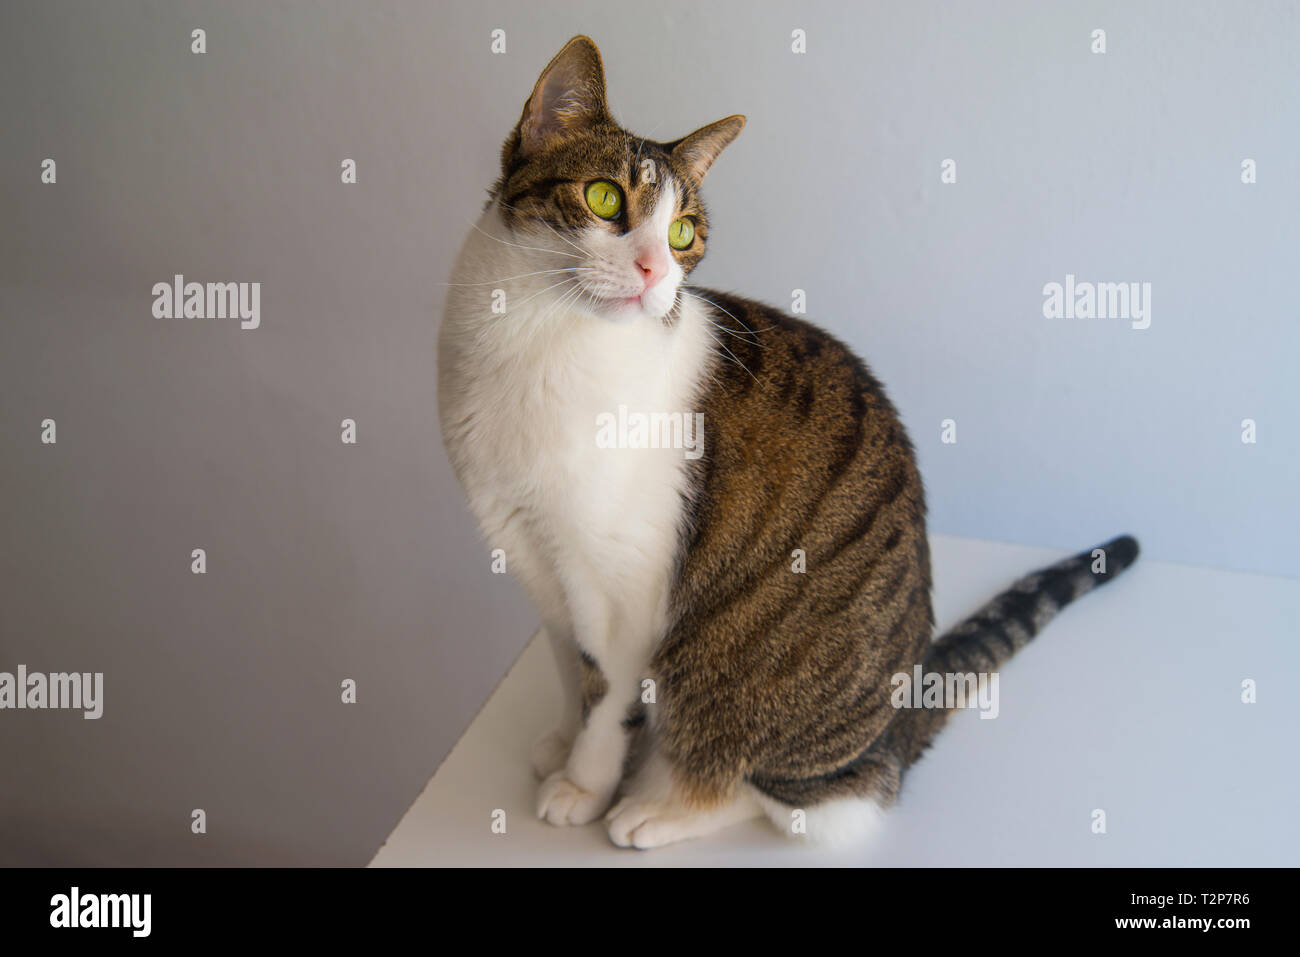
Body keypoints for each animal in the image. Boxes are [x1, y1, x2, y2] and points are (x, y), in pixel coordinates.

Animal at [439, 35, 1138, 852]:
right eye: (605, 199)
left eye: (683, 235)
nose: (654, 270)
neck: (533, 339)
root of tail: (894, 729)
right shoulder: (538, 565)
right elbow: (565, 671)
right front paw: (559, 740)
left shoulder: (620, 597)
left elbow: (607, 699)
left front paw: (583, 782)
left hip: (737, 689)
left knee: (808, 798)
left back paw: (660, 804)